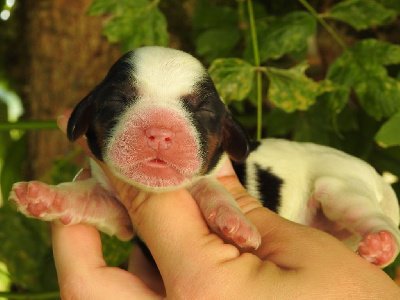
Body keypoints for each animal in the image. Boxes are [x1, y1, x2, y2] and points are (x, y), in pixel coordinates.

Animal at [9, 46, 400, 268]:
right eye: (118, 100)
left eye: (201, 110)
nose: (160, 133)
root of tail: (378, 179)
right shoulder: (118, 210)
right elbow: (87, 199)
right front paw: (43, 195)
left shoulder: (212, 176)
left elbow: (213, 189)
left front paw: (234, 222)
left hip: (341, 187)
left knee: (376, 218)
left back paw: (381, 244)